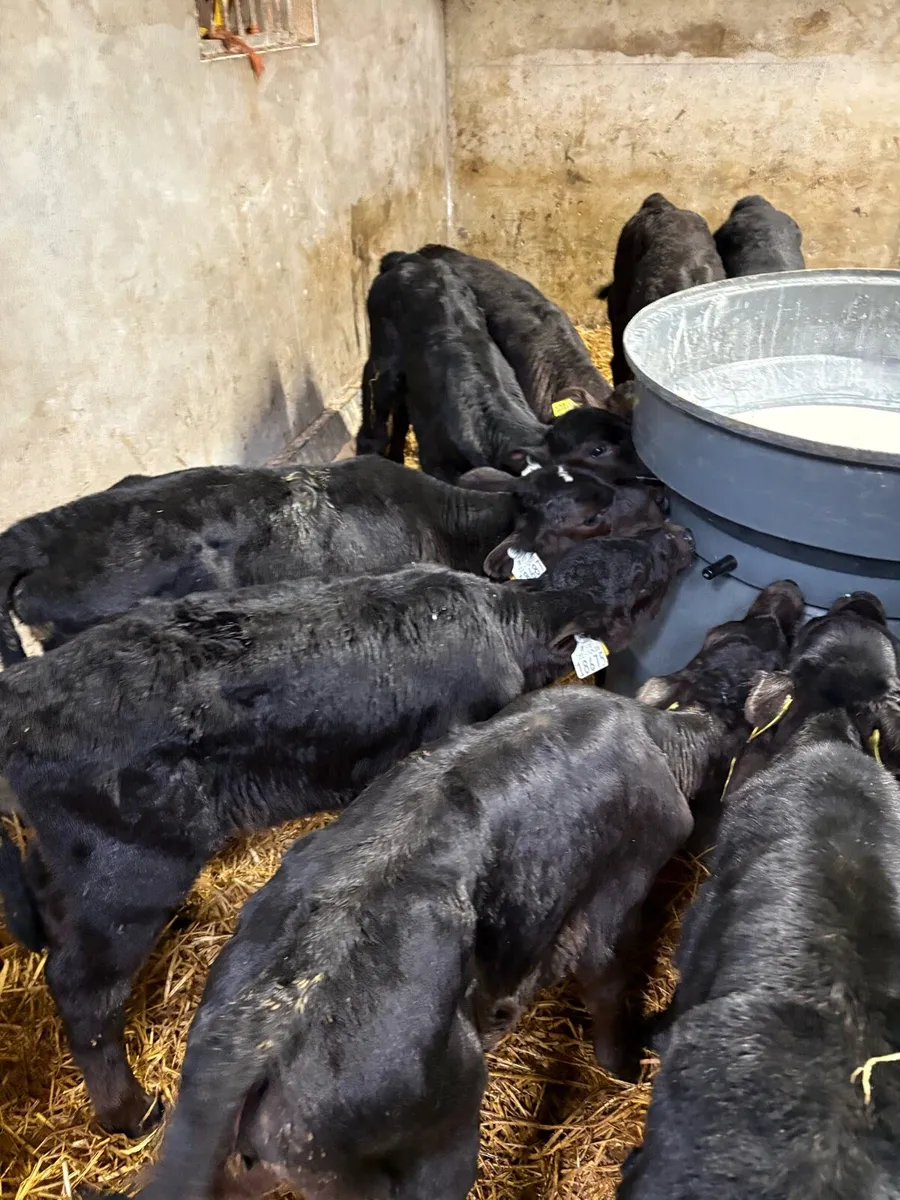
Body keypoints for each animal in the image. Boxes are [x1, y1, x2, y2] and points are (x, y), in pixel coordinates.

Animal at [0, 546, 677, 1139]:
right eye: (643, 585)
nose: (677, 542)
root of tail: (27, 691)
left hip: (73, 858)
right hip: (126, 873)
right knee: (83, 990)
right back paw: (130, 1112)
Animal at [93, 583, 804, 1200]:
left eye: (732, 628)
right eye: (779, 641)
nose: (785, 591)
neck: (666, 732)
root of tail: (257, 1033)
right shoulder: (611, 905)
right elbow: (610, 993)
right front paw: (625, 1069)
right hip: (434, 1140)